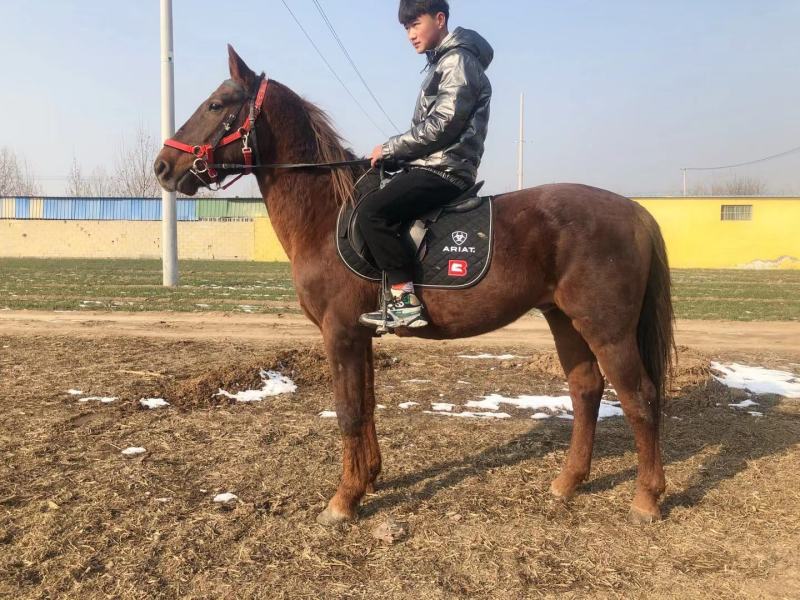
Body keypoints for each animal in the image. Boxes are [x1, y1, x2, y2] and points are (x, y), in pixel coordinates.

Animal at [154, 46, 675, 526]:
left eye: (218, 104)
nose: (162, 167)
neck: (327, 215)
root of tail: (635, 211)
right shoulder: (360, 333)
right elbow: (366, 404)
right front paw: (368, 478)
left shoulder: (339, 332)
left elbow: (348, 410)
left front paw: (343, 501)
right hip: (564, 319)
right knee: (586, 390)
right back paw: (568, 482)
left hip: (606, 329)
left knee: (640, 398)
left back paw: (646, 499)